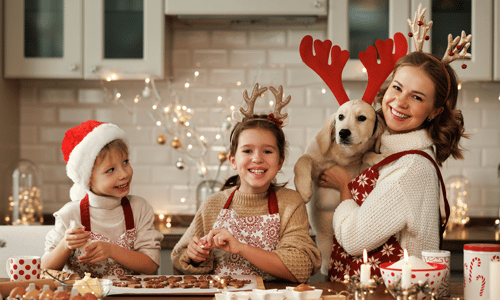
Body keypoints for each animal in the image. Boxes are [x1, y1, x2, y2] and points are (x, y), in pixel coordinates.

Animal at [294, 98, 384, 274]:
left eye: (361, 118)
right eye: (341, 117)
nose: (343, 132)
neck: (344, 156)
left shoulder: (358, 171)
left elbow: (366, 154)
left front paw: (377, 157)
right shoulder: (317, 166)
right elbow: (303, 160)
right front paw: (303, 189)